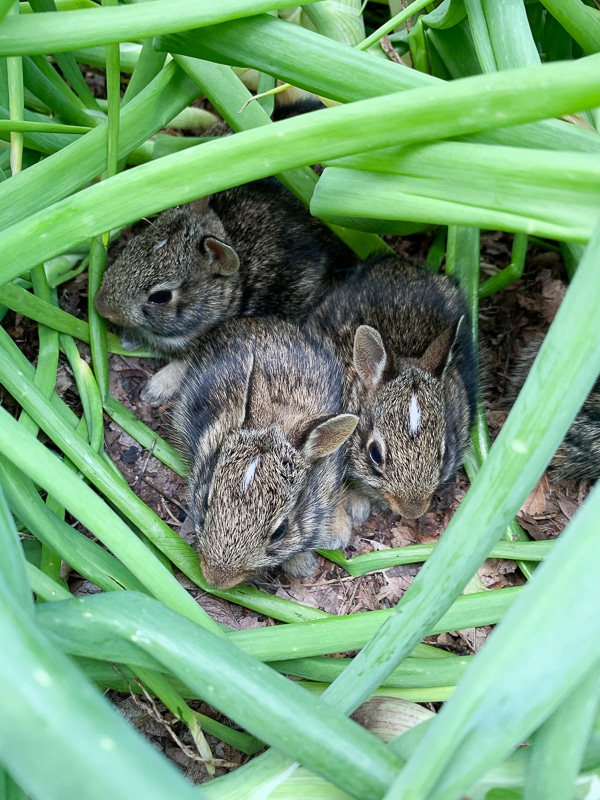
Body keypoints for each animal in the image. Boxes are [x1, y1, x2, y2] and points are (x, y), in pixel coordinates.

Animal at [96, 175, 354, 400]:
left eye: (160, 296)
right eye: (133, 243)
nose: (101, 307)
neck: (229, 294)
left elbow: (185, 365)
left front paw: (155, 390)